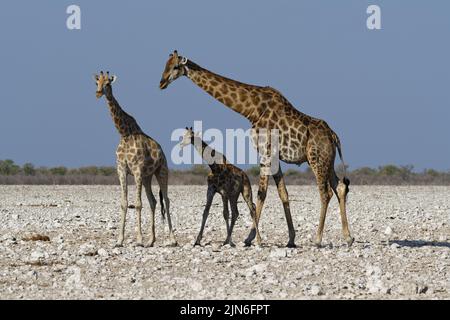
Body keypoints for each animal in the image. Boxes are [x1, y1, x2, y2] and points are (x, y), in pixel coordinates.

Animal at [94, 70, 177, 248]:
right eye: (97, 82)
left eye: (108, 83)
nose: (98, 93)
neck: (124, 134)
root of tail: (163, 152)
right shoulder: (121, 170)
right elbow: (124, 203)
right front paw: (119, 240)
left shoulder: (137, 170)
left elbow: (138, 204)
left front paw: (138, 239)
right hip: (147, 177)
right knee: (153, 201)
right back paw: (151, 240)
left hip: (162, 171)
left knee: (166, 200)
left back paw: (172, 239)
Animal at [160, 50, 354, 248]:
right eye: (164, 65)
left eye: (175, 67)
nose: (161, 82)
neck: (251, 110)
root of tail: (333, 136)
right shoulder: (274, 156)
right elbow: (283, 193)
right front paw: (291, 239)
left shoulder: (265, 152)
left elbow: (261, 194)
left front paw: (250, 238)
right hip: (327, 161)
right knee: (339, 187)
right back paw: (348, 237)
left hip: (316, 159)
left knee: (325, 193)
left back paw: (318, 239)